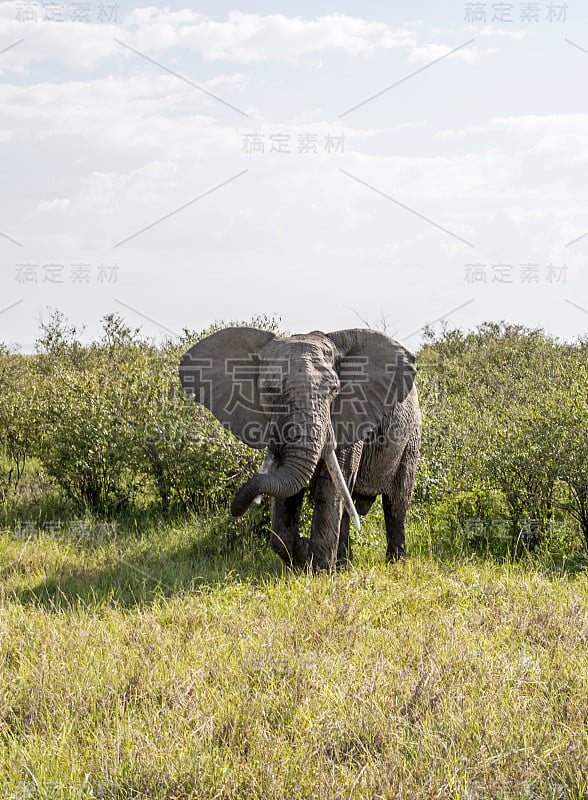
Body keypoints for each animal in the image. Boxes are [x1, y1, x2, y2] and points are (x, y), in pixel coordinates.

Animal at [177, 324, 420, 568]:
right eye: (269, 390)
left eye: (334, 390)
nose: (235, 508)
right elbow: (285, 497)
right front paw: (304, 554)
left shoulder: (349, 417)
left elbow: (330, 487)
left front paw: (319, 570)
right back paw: (344, 564)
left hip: (411, 437)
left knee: (396, 503)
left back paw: (395, 563)